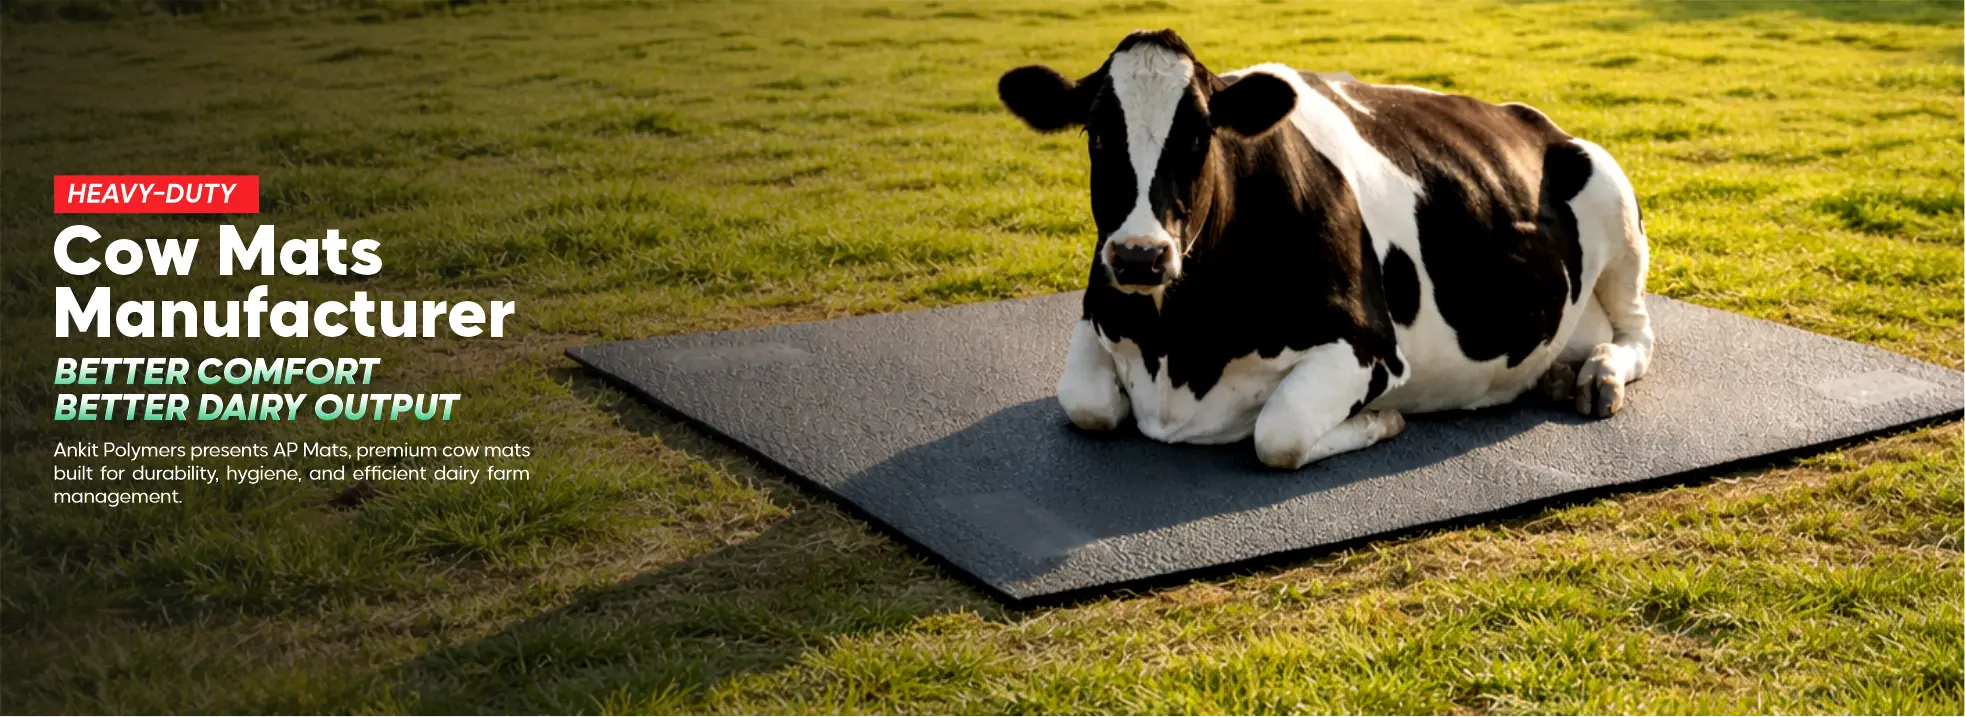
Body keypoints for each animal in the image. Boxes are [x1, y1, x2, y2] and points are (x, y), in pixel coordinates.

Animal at [997, 29, 1654, 469]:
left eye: (1201, 133)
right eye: (1096, 133)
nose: (1140, 255)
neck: (1178, 349)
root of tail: (1532, 119)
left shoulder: (1369, 349)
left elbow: (1277, 435)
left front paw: (1381, 421)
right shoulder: (1097, 313)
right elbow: (1086, 403)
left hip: (1614, 198)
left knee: (1637, 333)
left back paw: (1598, 374)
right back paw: (1558, 374)